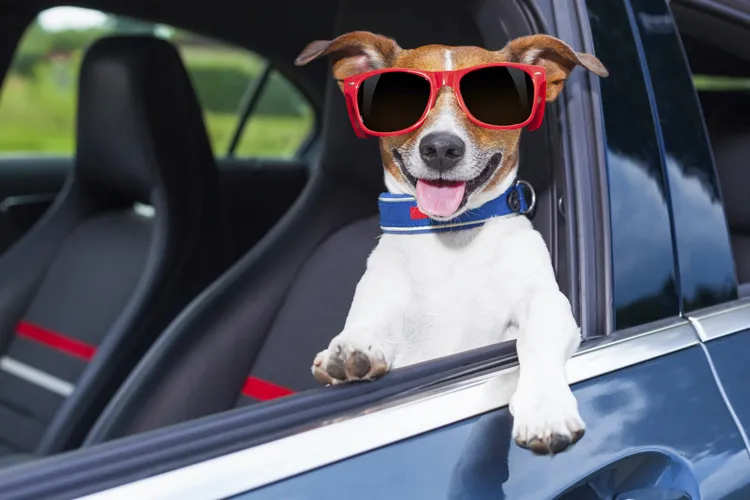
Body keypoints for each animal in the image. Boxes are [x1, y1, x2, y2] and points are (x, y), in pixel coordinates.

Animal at [296, 29, 612, 456]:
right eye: (400, 98)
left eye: (493, 99)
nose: (442, 149)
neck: (451, 240)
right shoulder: (380, 304)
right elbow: (365, 326)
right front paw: (349, 351)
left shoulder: (547, 302)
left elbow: (537, 339)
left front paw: (545, 409)